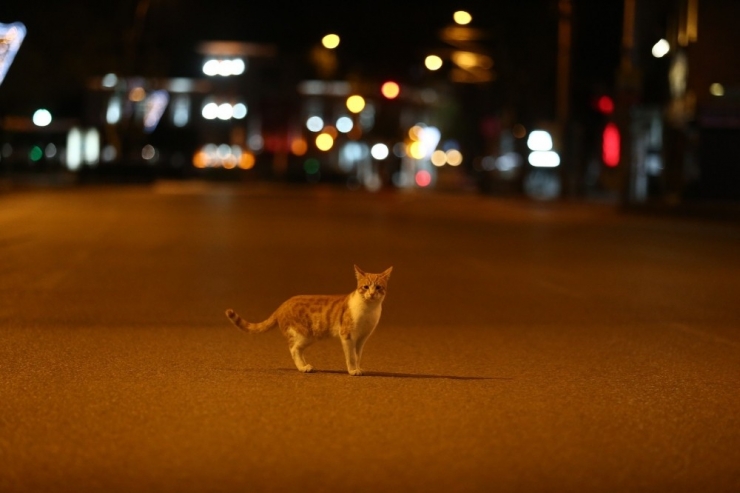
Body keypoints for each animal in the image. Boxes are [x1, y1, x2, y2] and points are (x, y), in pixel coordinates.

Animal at [225, 266, 394, 376]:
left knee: (298, 350)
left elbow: (357, 355)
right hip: (304, 334)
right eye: (365, 287)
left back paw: (306, 365)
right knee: (293, 349)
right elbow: (351, 356)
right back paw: (303, 368)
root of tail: (282, 305)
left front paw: (359, 368)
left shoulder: (362, 338)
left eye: (378, 288)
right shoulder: (347, 335)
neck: (369, 310)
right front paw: (353, 370)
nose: (371, 294)